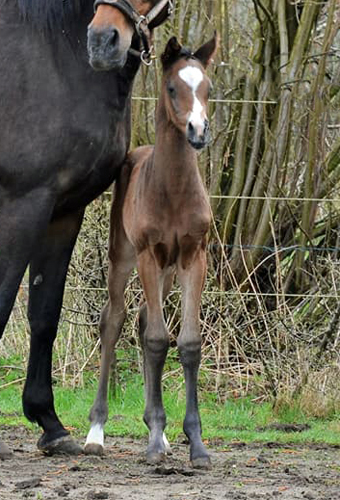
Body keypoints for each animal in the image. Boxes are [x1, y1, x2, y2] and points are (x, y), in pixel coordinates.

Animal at [0, 0, 171, 460]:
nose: (102, 41)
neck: (56, 55)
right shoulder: (21, 205)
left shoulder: (63, 211)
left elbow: (44, 313)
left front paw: (50, 423)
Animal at [85, 35, 218, 468]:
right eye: (173, 88)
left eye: (208, 88)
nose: (198, 131)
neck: (173, 189)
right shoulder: (147, 254)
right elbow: (159, 340)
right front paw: (157, 441)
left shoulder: (194, 257)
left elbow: (187, 342)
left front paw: (194, 443)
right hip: (125, 257)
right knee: (114, 320)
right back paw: (97, 432)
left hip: (167, 271)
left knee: (144, 319)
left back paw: (155, 431)